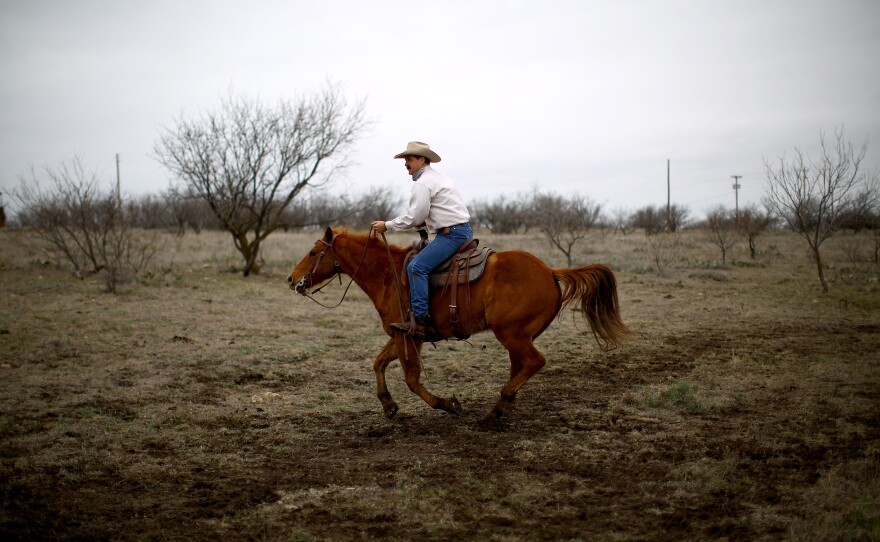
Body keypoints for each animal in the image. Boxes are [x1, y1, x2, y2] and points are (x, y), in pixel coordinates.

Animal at [288, 227, 632, 422]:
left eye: (314, 252)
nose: (292, 279)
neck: (389, 274)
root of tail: (549, 271)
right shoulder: (402, 335)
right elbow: (378, 363)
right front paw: (388, 406)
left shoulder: (410, 338)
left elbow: (411, 380)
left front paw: (448, 404)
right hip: (518, 337)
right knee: (521, 366)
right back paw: (502, 407)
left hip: (511, 334)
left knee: (535, 362)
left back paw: (498, 408)